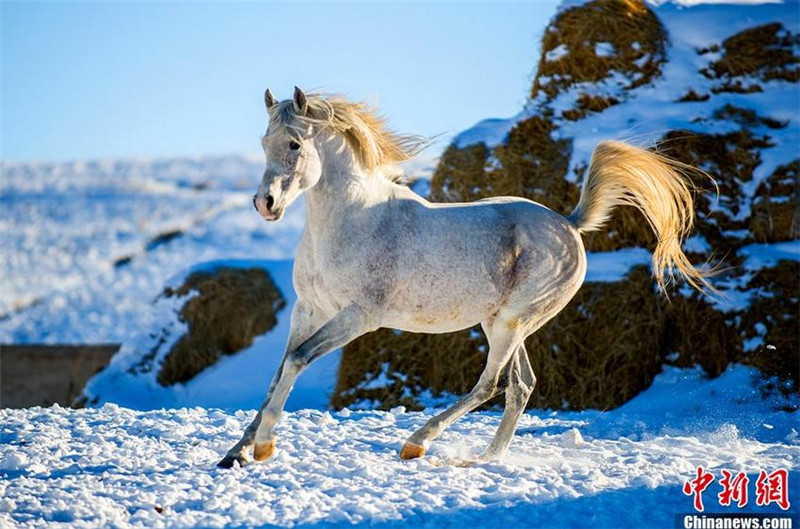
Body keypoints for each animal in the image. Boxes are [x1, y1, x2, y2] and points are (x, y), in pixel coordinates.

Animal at [217, 86, 712, 466]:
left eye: (295, 144)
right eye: (263, 142)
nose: (265, 204)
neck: (355, 221)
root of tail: (570, 224)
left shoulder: (359, 317)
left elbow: (297, 360)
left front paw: (263, 448)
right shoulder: (309, 308)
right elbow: (280, 370)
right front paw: (234, 454)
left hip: (512, 322)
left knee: (492, 384)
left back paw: (417, 444)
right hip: (502, 323)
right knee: (521, 385)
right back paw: (487, 457)